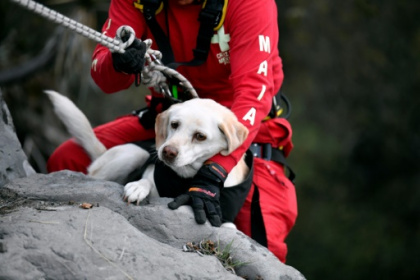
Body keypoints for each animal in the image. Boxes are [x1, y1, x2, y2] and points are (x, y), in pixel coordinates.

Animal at [45, 91, 249, 218]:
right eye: (174, 124)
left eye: (200, 136)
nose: (167, 152)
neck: (186, 177)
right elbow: (146, 180)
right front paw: (137, 187)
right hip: (134, 153)